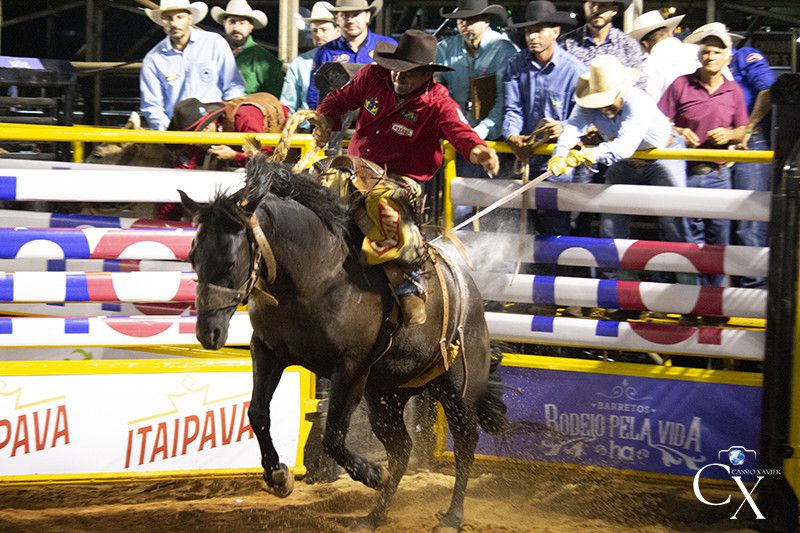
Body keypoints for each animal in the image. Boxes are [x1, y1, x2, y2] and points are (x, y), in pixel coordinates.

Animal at [179, 155, 508, 531]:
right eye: (193, 256)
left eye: (231, 261)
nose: (207, 333)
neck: (314, 274)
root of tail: (469, 289)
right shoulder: (267, 350)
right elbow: (258, 413)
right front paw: (278, 476)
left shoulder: (351, 367)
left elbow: (333, 436)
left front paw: (372, 474)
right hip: (385, 395)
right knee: (402, 449)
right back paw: (373, 516)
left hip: (457, 390)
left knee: (465, 444)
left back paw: (451, 516)